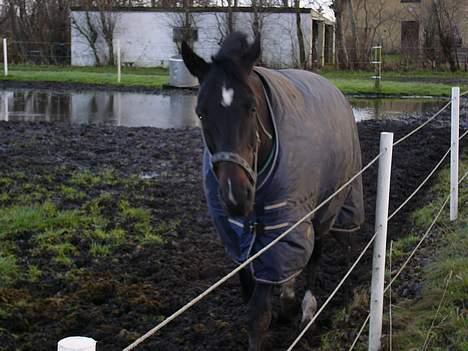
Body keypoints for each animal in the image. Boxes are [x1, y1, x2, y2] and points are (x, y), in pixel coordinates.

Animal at [181, 31, 364, 350]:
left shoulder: (283, 223)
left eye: (251, 107)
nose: (235, 196)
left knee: (317, 251)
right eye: (201, 113)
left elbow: (258, 314)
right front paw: (283, 307)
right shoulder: (238, 237)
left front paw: (287, 311)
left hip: (329, 202)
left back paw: (309, 308)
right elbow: (250, 293)